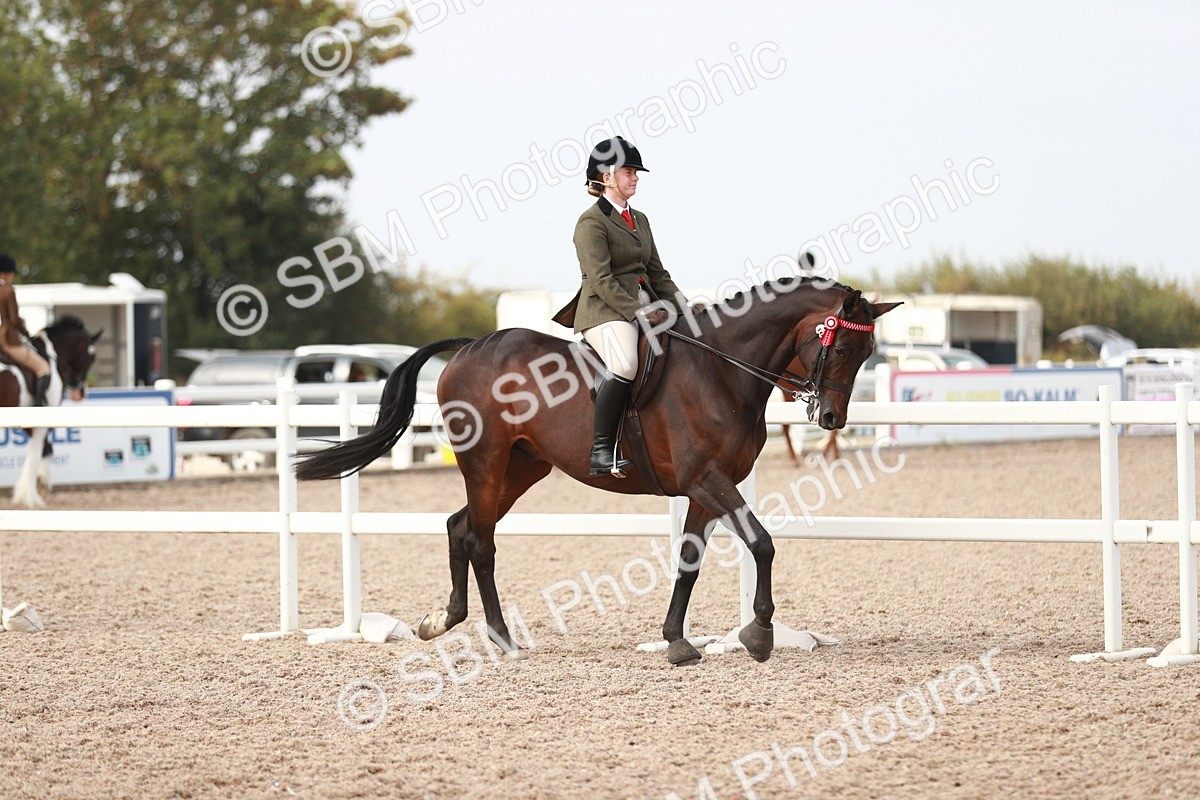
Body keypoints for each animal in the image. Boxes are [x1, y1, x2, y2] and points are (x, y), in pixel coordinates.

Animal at [0, 315, 102, 507]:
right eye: (91, 356)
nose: (79, 393)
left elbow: (46, 449)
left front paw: (36, 486)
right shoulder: (40, 421)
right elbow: (38, 452)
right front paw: (32, 495)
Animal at [296, 278, 897, 665]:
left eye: (867, 350)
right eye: (842, 345)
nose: (832, 418)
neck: (722, 371)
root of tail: (470, 347)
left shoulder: (704, 489)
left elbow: (689, 561)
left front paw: (677, 640)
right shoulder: (708, 479)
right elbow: (763, 543)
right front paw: (760, 634)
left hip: (523, 468)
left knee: (459, 526)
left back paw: (444, 621)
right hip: (486, 462)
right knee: (481, 540)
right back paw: (501, 638)